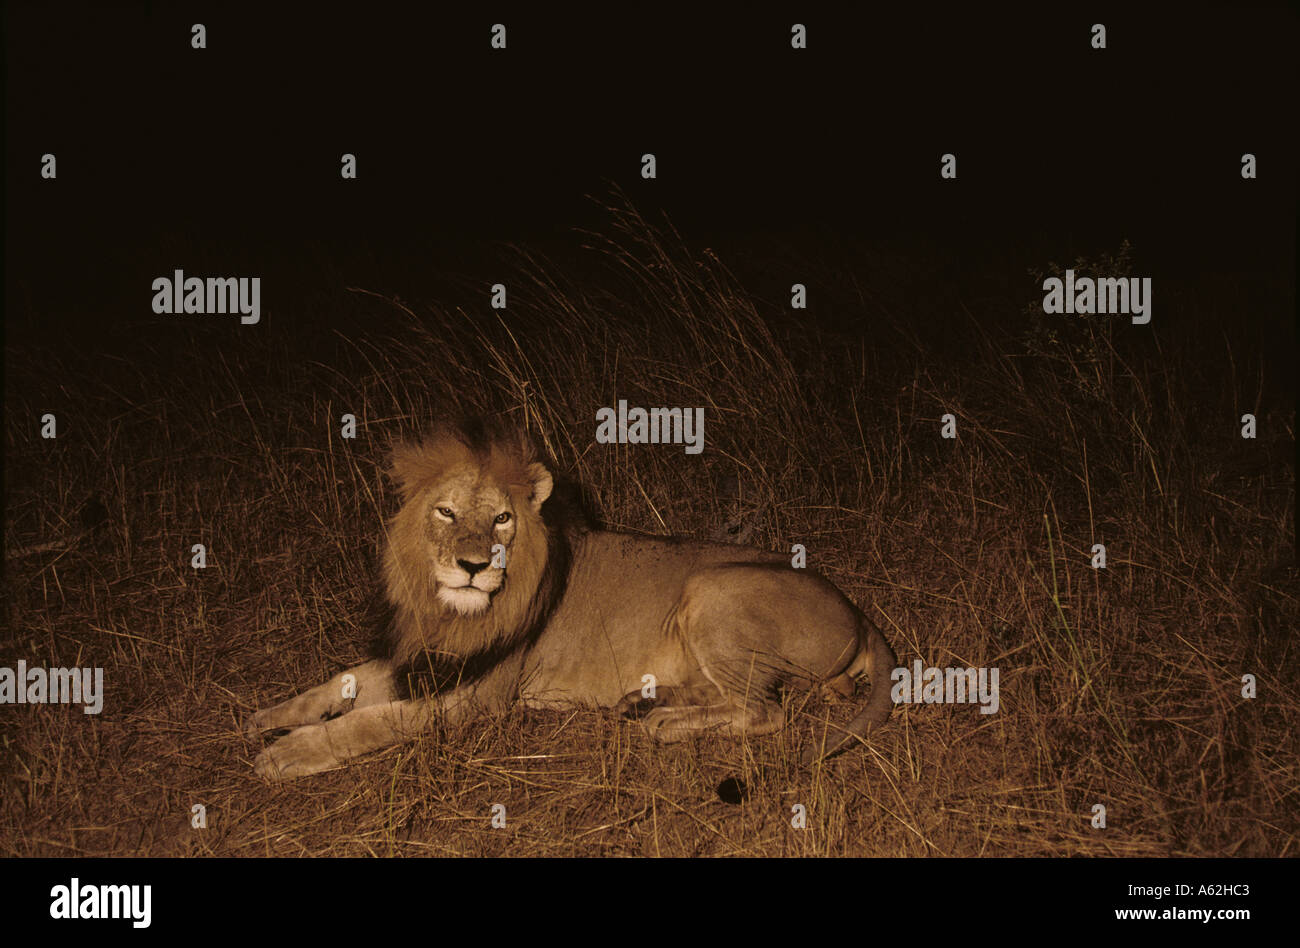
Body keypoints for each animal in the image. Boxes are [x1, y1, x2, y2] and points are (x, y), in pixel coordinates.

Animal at [247, 418, 896, 779]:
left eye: (503, 519)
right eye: (446, 512)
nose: (473, 567)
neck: (450, 613)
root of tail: (860, 613)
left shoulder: (475, 699)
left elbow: (371, 721)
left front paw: (286, 754)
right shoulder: (425, 659)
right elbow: (341, 682)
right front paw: (266, 717)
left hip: (712, 587)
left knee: (765, 710)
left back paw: (663, 724)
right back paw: (645, 701)